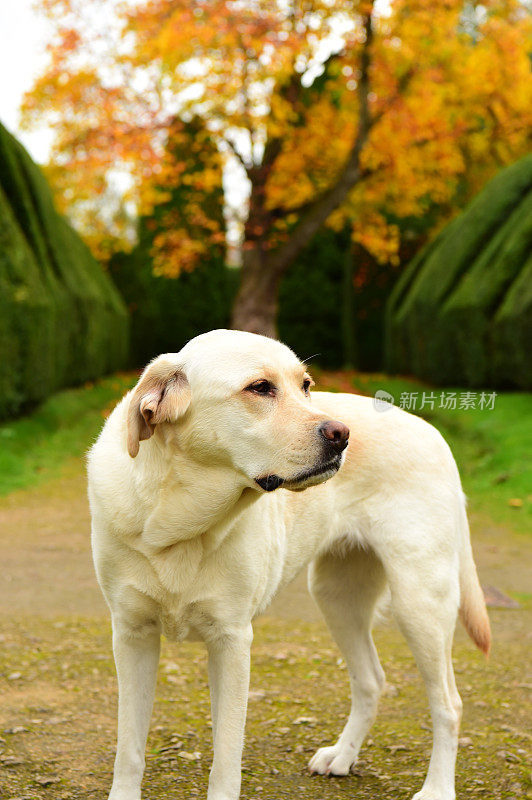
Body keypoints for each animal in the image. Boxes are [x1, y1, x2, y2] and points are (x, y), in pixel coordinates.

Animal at [87, 328, 490, 800]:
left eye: (306, 385)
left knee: (449, 704)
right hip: (337, 598)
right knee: (371, 680)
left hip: (419, 602)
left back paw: (437, 787)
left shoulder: (232, 641)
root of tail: (432, 432)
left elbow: (226, 760)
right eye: (260, 388)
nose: (342, 434)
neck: (178, 524)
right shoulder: (132, 635)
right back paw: (342, 756)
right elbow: (129, 751)